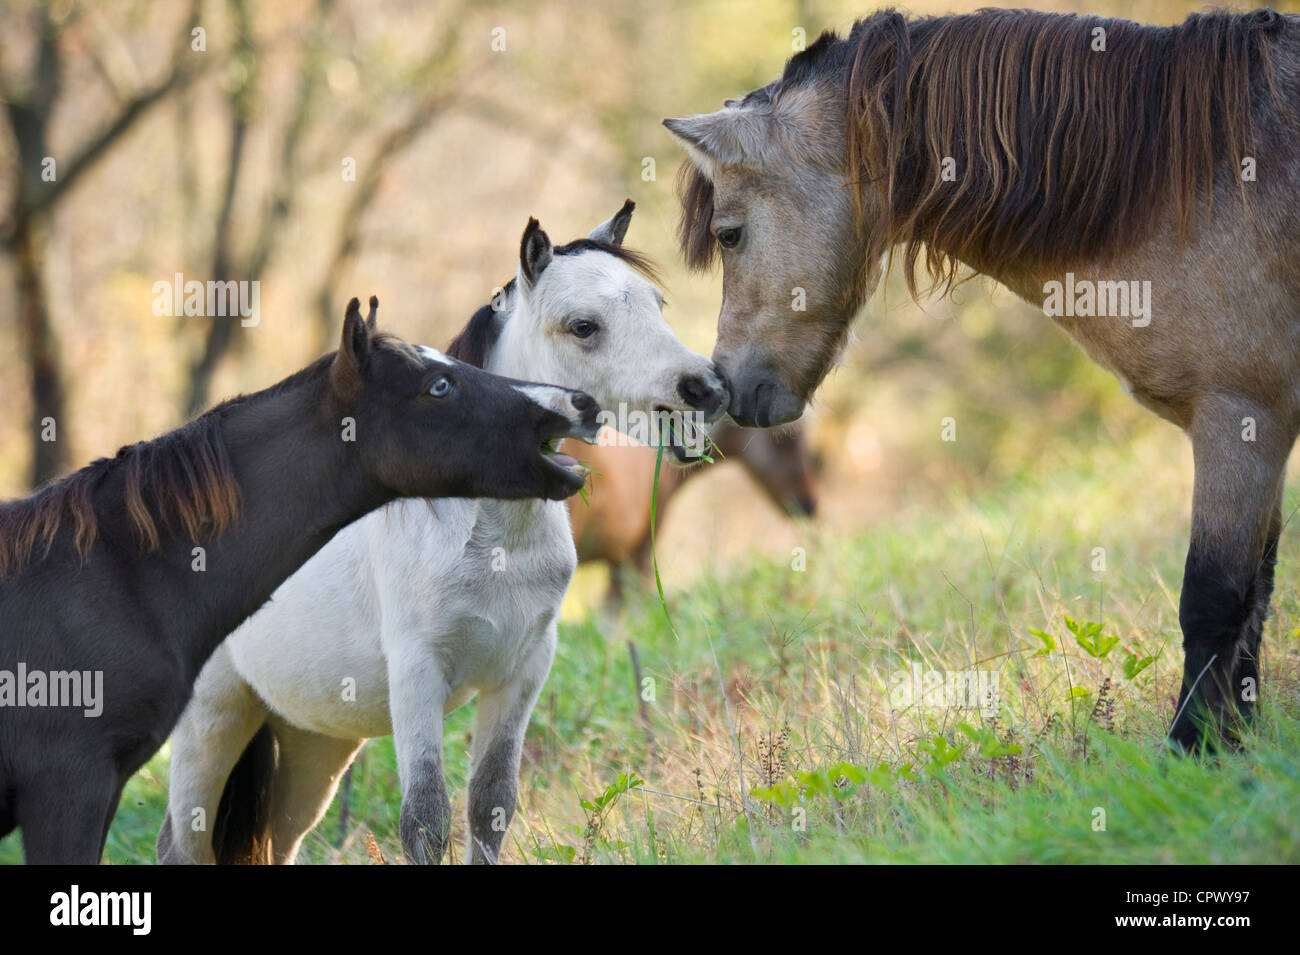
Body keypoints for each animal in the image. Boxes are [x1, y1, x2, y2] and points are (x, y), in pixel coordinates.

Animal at [157, 201, 728, 867]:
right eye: (583, 326)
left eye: (657, 304)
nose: (706, 389)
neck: (491, 541)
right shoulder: (418, 677)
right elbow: (426, 820)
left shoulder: (521, 674)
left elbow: (490, 805)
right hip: (214, 719)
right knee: (183, 842)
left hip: (311, 738)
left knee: (278, 839)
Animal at [665, 9, 1300, 753]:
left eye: (729, 234)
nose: (730, 385)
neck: (1187, 181)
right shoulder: (1262, 430)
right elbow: (1255, 595)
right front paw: (1236, 745)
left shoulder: (1239, 418)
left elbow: (1214, 599)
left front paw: (1190, 750)